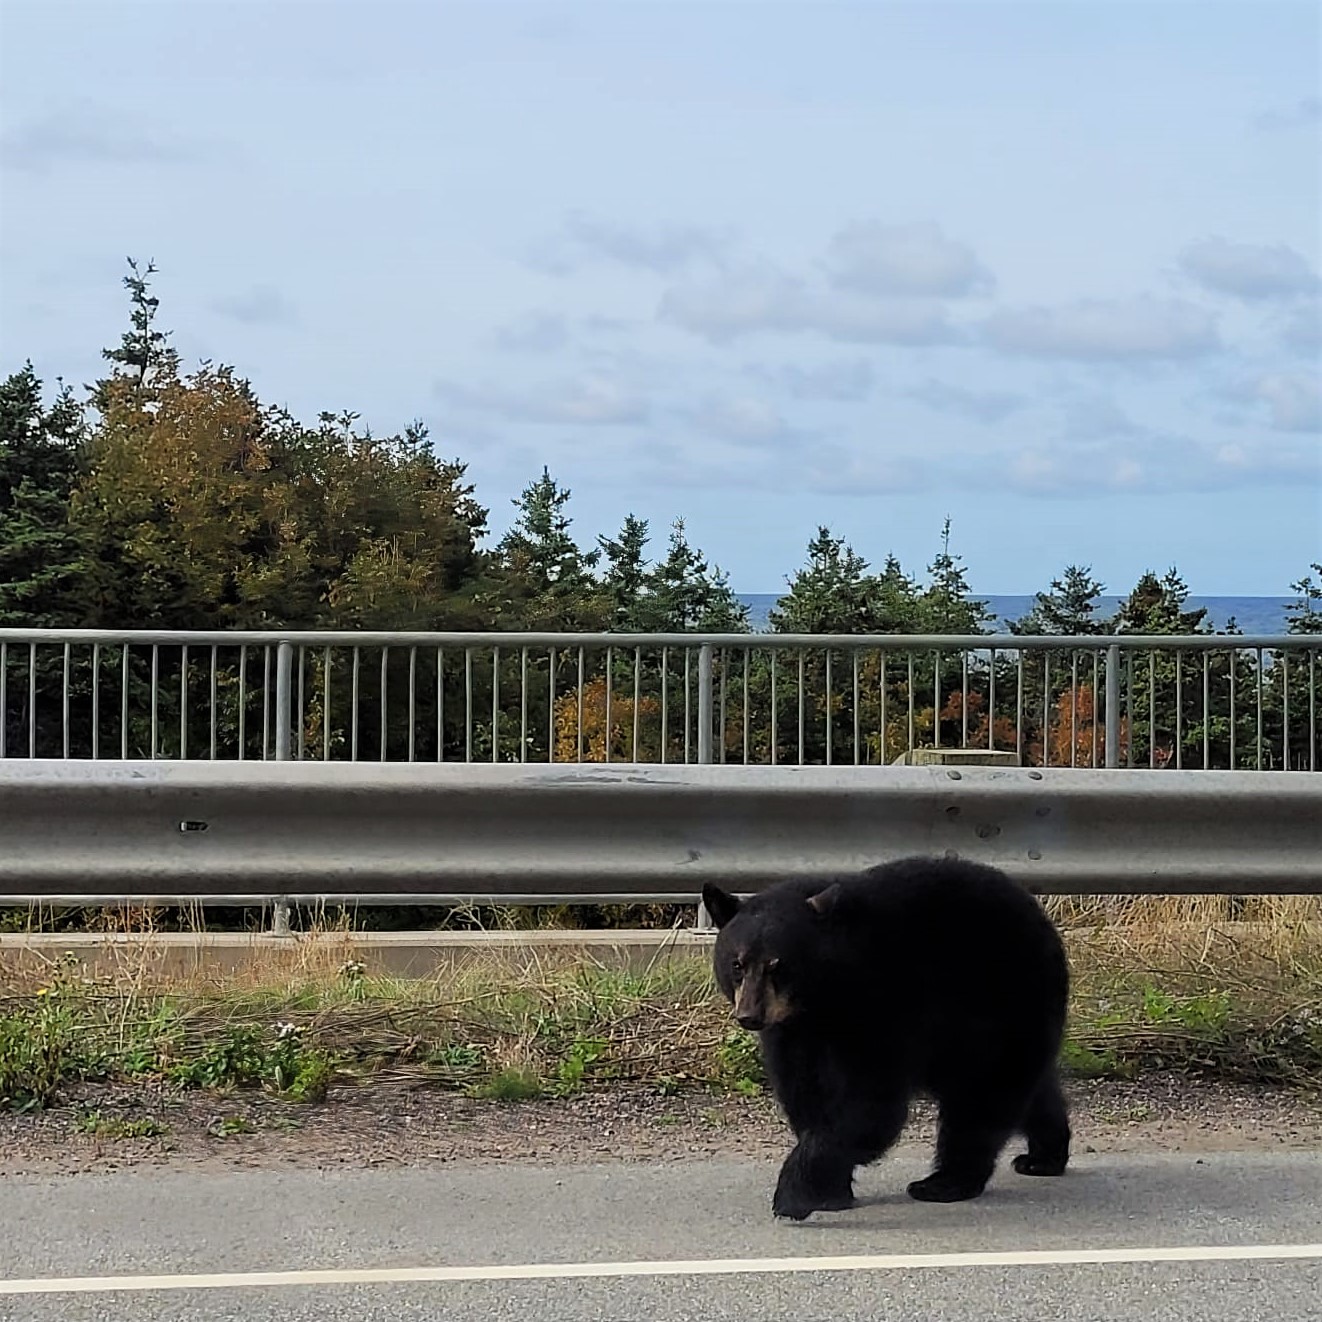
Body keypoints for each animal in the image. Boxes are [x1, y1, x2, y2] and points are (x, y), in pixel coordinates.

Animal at [702, 855, 1072, 1221]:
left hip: (1002, 1001)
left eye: (777, 965)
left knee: (982, 1097)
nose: (750, 1015)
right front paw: (831, 1192)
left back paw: (945, 1182)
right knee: (1028, 1088)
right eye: (737, 964)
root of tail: (1039, 914)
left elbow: (870, 1105)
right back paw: (1043, 1156)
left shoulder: (882, 1008)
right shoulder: (791, 1034)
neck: (822, 999)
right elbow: (805, 1096)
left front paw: (795, 1194)